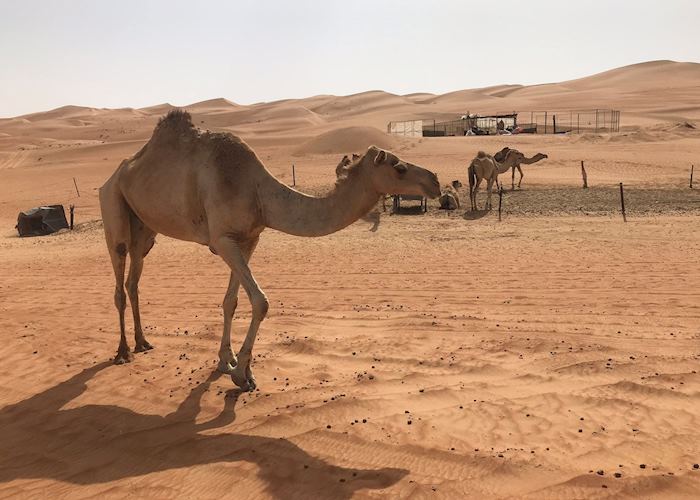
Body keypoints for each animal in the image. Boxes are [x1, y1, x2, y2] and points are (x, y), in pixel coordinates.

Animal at [99, 110, 440, 391]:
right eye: (399, 167)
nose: (435, 181)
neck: (258, 192)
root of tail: (117, 173)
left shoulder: (248, 239)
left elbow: (231, 301)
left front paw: (226, 361)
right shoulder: (223, 240)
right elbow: (260, 302)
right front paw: (243, 375)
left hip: (145, 229)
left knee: (133, 280)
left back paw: (143, 342)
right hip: (113, 203)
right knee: (118, 275)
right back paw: (123, 351)